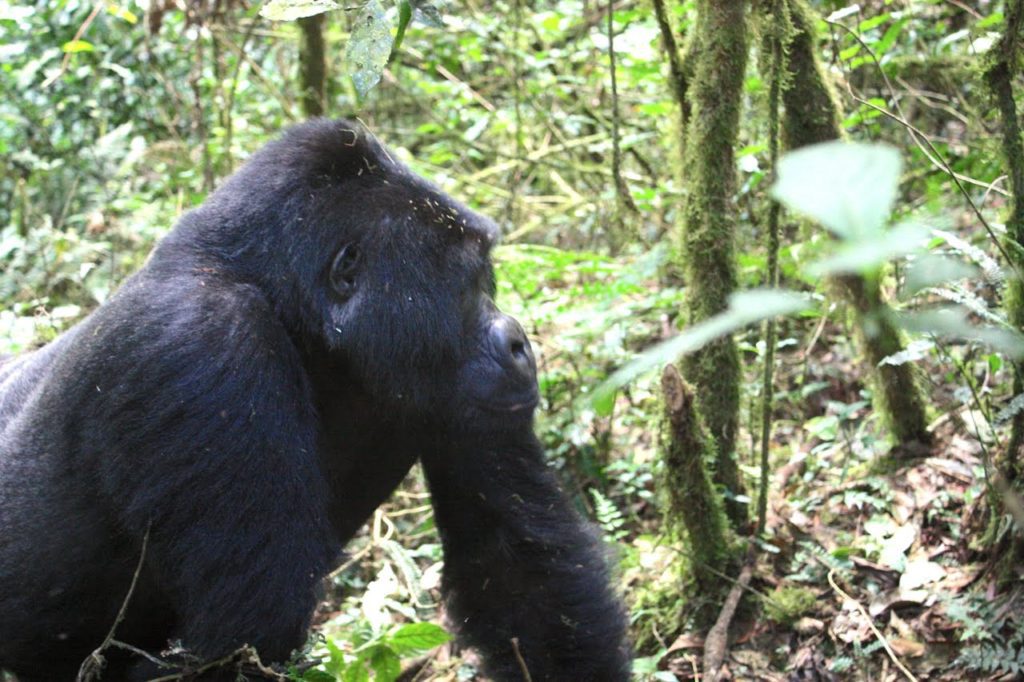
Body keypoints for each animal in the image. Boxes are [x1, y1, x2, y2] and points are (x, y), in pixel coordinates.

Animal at [0, 120, 630, 679]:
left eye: (485, 279)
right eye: (469, 285)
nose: (518, 343)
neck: (287, 306)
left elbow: (519, 569)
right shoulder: (206, 341)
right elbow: (245, 638)